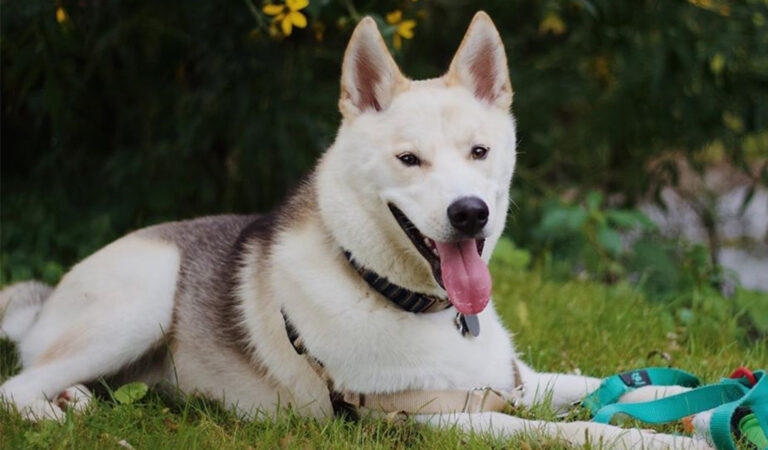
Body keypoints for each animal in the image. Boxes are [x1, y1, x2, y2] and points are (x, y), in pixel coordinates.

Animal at [1, 12, 708, 448]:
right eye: (409, 159)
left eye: (479, 152)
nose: (469, 213)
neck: (409, 301)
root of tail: (43, 304)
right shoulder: (442, 420)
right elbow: (585, 429)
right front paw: (663, 439)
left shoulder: (515, 382)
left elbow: (633, 392)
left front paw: (702, 410)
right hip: (140, 303)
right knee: (14, 387)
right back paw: (53, 414)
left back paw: (75, 401)